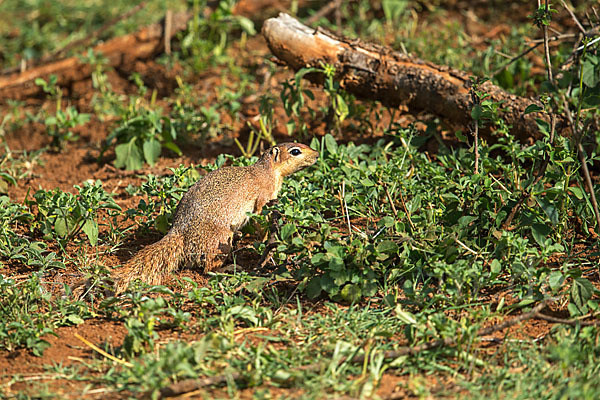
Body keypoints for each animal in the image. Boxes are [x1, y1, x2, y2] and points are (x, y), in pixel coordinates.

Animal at [113, 142, 318, 292]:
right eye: (295, 151)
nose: (317, 154)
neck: (267, 171)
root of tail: (179, 231)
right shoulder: (263, 198)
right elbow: (260, 220)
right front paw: (266, 240)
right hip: (221, 241)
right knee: (208, 269)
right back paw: (228, 269)